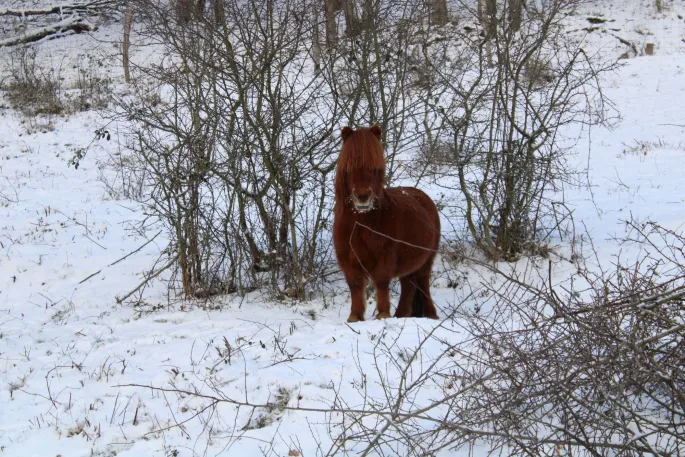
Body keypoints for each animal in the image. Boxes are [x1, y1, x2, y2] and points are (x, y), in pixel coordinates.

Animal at [334, 123, 440, 320]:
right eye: (349, 168)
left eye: (375, 168)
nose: (363, 197)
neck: (360, 223)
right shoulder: (348, 260)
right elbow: (355, 285)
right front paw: (355, 317)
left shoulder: (385, 255)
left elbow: (381, 281)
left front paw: (383, 314)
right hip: (409, 265)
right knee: (408, 285)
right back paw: (401, 315)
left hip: (426, 261)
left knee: (422, 284)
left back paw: (431, 316)